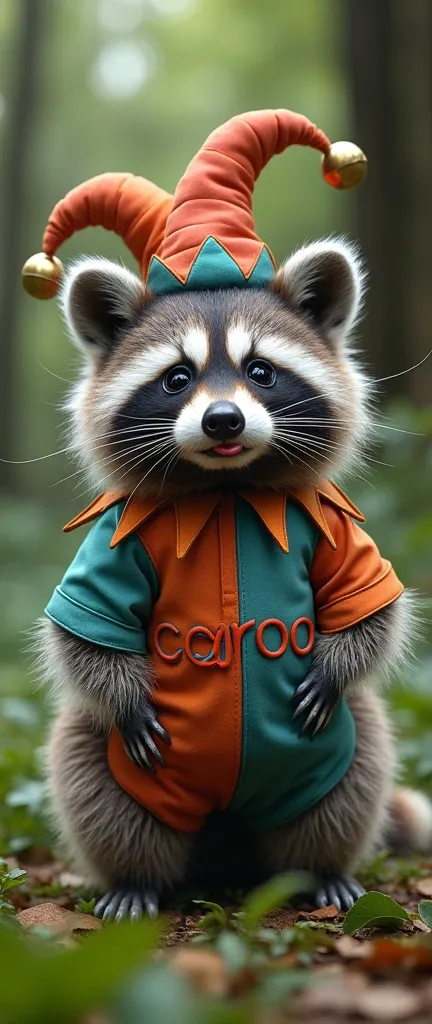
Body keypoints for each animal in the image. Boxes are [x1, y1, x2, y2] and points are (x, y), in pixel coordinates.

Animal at [28, 110, 429, 921]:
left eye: (261, 372)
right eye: (177, 378)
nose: (222, 422)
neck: (227, 494)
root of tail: (227, 839)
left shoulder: (336, 531)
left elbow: (375, 615)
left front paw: (340, 657)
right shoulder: (113, 544)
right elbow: (79, 641)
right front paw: (125, 687)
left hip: (335, 752)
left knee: (357, 769)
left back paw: (321, 868)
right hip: (121, 770)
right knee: (90, 774)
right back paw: (135, 878)